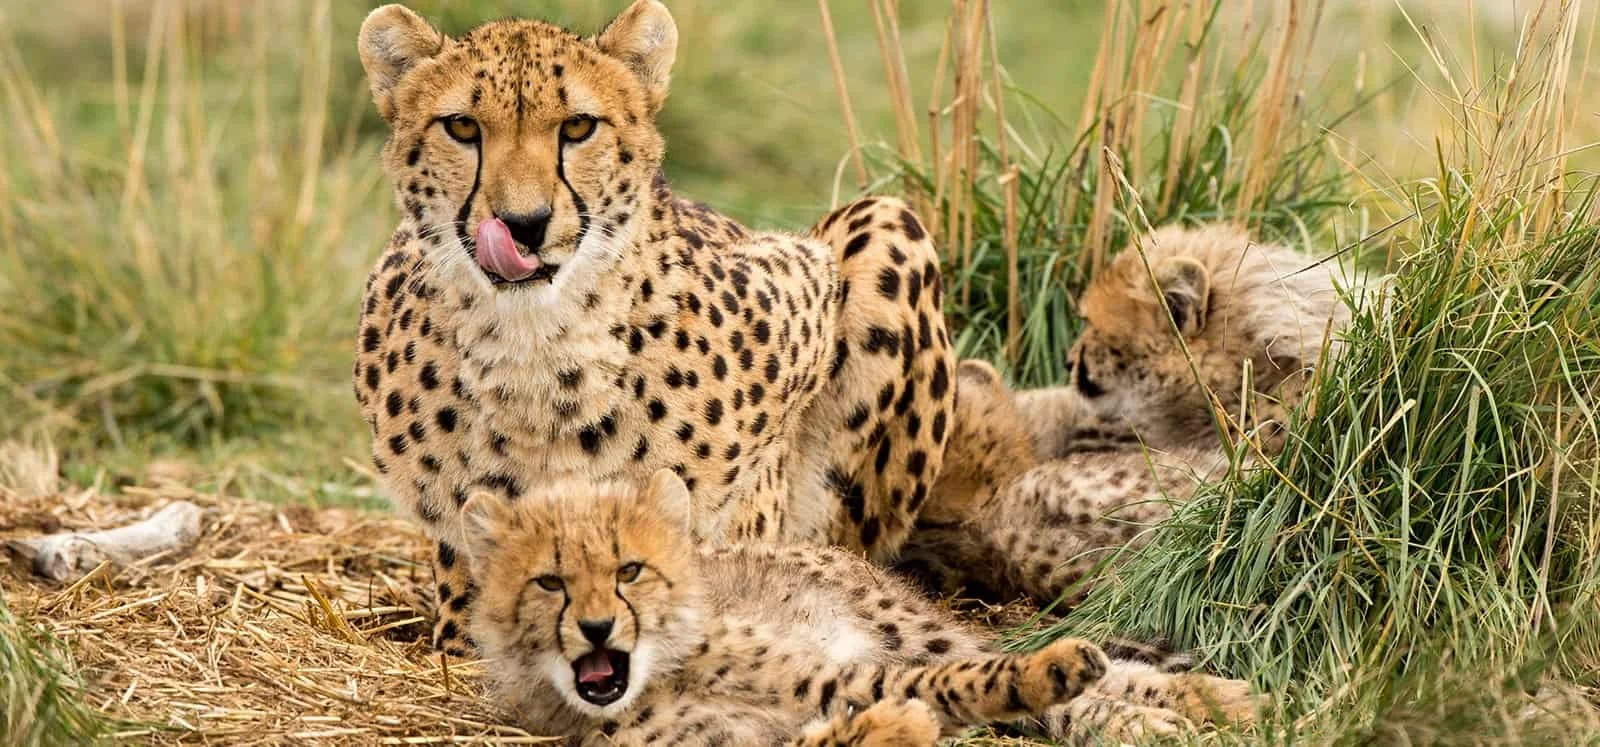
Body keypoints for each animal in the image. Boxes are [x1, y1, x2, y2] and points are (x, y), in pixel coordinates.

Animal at [352, 1, 958, 657]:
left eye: (578, 127)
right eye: (462, 127)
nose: (523, 223)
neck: (536, 344)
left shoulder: (804, 279)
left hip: (888, 220)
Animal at [462, 469, 1263, 745]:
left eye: (629, 571)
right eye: (550, 583)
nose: (598, 628)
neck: (658, 677)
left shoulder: (838, 672)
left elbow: (968, 682)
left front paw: (1053, 669)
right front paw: (891, 729)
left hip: (907, 628)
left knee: (1055, 673)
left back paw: (1208, 700)